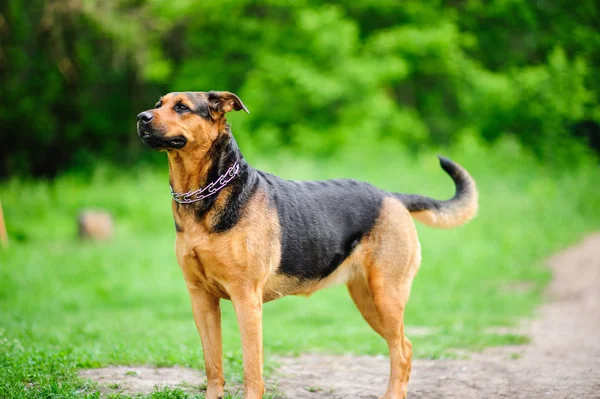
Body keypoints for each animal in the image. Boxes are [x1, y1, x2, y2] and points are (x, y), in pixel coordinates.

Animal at [136, 91, 478, 399]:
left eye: (182, 107)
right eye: (158, 104)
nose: (141, 118)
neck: (205, 195)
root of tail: (392, 197)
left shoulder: (246, 298)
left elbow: (251, 371)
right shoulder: (201, 298)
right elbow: (213, 366)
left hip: (387, 294)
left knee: (402, 350)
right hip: (367, 299)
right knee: (401, 347)